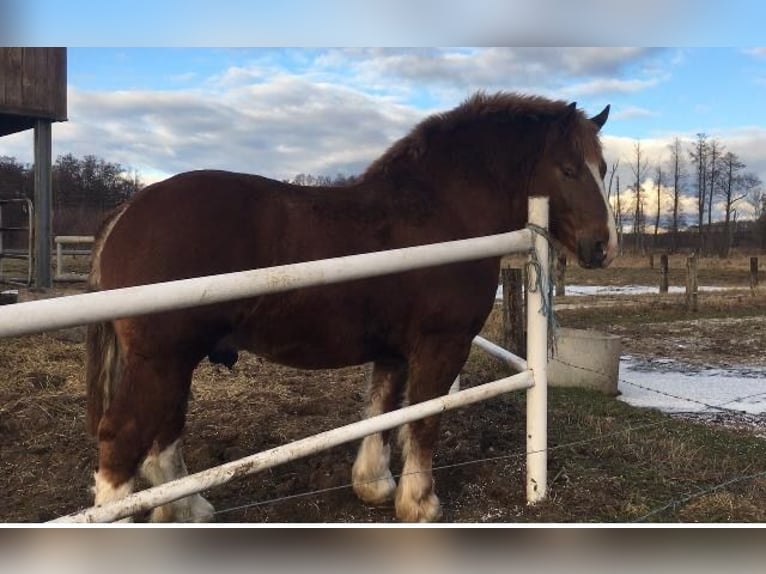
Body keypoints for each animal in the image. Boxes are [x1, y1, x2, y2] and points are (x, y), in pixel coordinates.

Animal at [85, 92, 616, 524]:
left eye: (604, 169)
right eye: (568, 169)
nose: (603, 246)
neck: (441, 211)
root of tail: (127, 212)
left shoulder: (394, 350)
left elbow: (384, 411)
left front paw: (375, 485)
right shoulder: (442, 344)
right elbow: (424, 419)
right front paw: (419, 503)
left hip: (174, 363)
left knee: (162, 440)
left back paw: (189, 509)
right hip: (161, 360)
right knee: (122, 440)